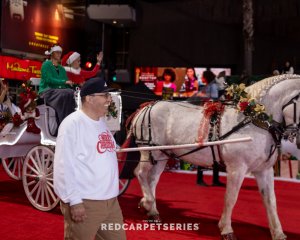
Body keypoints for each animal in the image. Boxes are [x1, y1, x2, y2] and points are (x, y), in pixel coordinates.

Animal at [127, 75, 300, 240]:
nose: (297, 141)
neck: (254, 120)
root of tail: (146, 107)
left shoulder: (264, 170)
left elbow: (271, 201)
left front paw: (278, 233)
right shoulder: (237, 169)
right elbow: (231, 198)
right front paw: (226, 229)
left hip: (162, 155)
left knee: (152, 179)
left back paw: (152, 211)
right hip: (149, 151)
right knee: (140, 173)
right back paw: (147, 202)